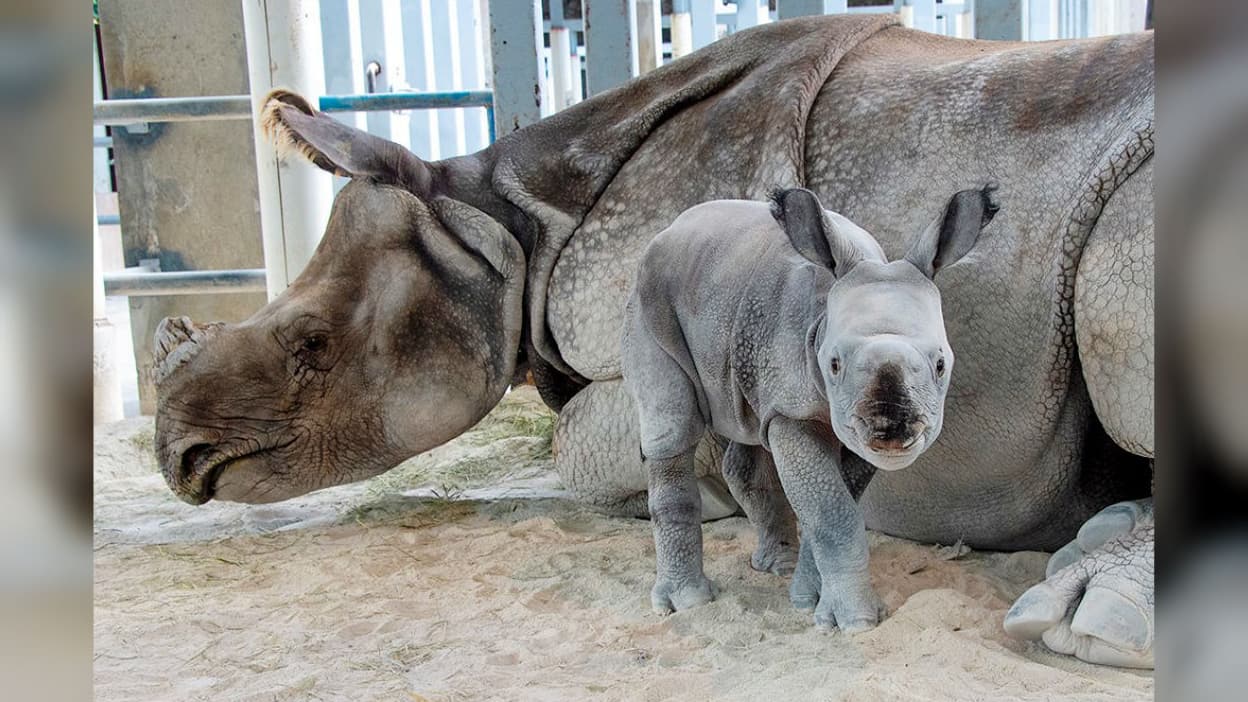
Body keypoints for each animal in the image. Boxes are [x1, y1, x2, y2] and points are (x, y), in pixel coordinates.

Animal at [623, 186, 996, 629]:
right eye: (833, 364)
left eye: (940, 364)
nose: (891, 430)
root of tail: (669, 229)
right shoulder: (794, 410)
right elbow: (832, 512)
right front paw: (855, 620)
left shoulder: (848, 425)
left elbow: (834, 503)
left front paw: (808, 598)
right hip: (650, 298)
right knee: (673, 428)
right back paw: (688, 602)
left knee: (748, 427)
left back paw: (775, 566)